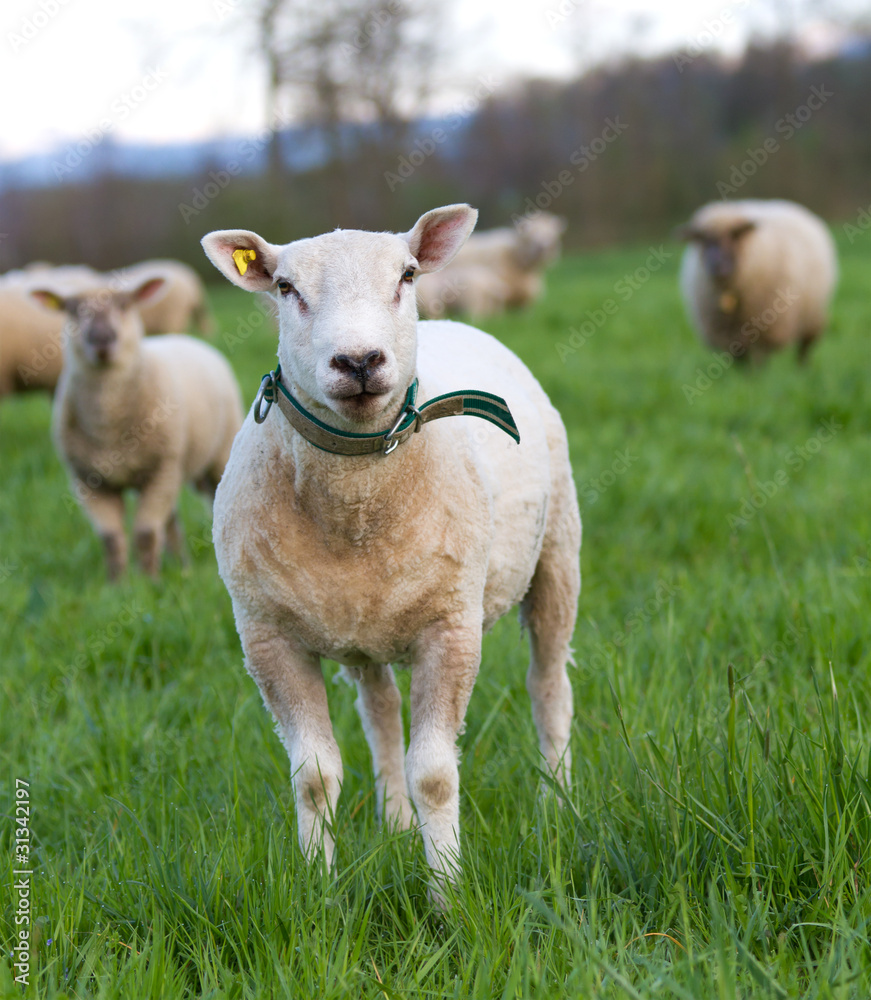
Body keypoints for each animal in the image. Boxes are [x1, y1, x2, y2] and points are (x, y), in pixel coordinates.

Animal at [32, 278, 244, 584]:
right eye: (73, 310)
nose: (102, 339)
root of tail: (184, 338)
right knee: (171, 520)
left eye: (124, 305)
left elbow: (145, 534)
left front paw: (149, 582)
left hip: (213, 455)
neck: (107, 424)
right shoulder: (88, 480)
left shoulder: (160, 468)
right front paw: (118, 584)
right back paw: (181, 566)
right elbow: (111, 538)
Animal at [676, 198, 836, 364]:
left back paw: (801, 367)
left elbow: (760, 359)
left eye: (735, 235)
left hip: (812, 315)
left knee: (805, 347)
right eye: (702, 239)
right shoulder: (729, 336)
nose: (717, 266)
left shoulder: (764, 327)